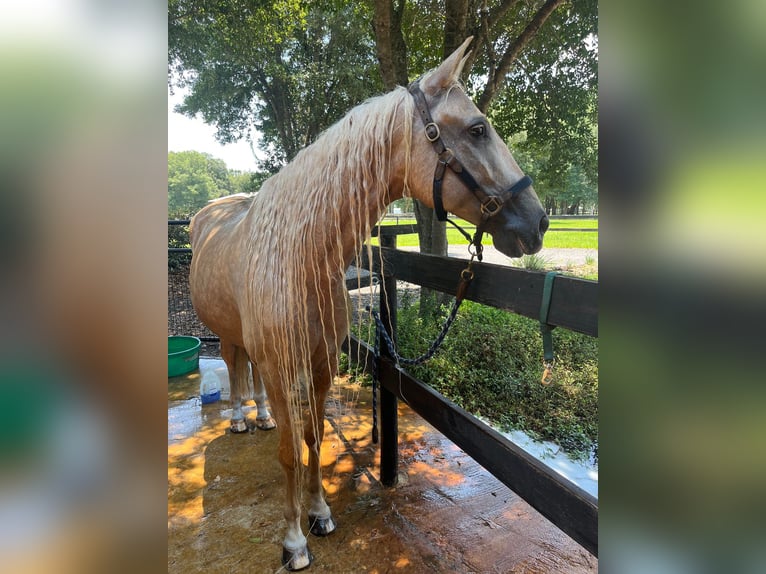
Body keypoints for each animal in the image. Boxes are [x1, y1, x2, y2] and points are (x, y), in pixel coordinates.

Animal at [192, 38, 552, 572]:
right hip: (231, 335)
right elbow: (288, 453)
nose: (539, 222)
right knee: (236, 366)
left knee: (249, 374)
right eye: (477, 128)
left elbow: (314, 437)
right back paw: (239, 417)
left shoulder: (321, 362)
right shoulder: (282, 366)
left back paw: (258, 415)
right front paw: (293, 540)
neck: (302, 258)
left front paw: (320, 513)